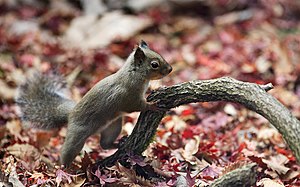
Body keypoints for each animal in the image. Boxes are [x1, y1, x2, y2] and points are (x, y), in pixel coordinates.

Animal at [15, 40, 172, 167]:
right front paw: (152, 105)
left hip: (113, 126)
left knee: (105, 144)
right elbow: (135, 106)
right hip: (77, 135)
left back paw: (119, 142)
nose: (170, 69)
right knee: (66, 151)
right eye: (154, 64)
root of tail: (70, 114)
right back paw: (65, 169)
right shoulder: (128, 97)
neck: (133, 74)